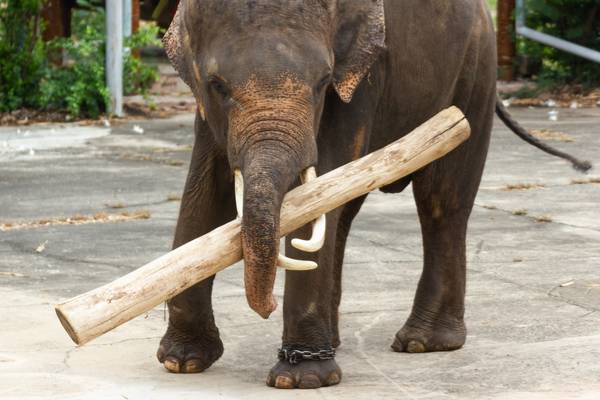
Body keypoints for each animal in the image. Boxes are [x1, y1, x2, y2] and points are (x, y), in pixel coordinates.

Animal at [156, 0, 592, 390]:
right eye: (217, 86)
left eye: (322, 82)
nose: (266, 308)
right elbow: (205, 189)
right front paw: (183, 361)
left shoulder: (363, 75)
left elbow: (323, 182)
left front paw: (300, 379)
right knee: (349, 212)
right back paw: (337, 342)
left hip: (474, 73)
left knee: (442, 201)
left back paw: (424, 343)